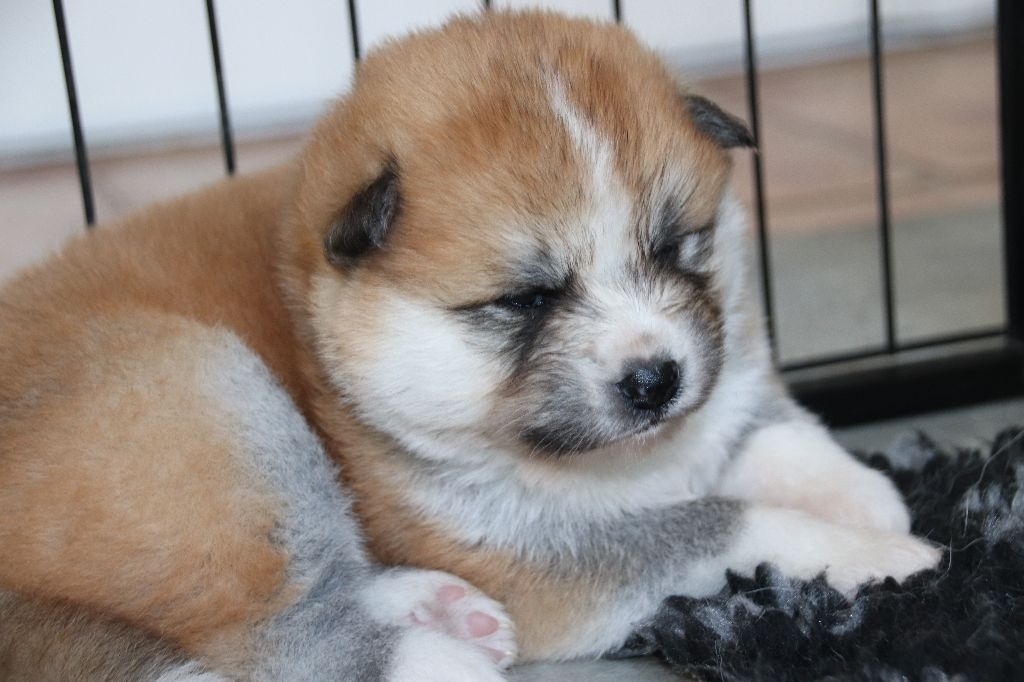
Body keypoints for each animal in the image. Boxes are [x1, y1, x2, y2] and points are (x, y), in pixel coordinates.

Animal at [0, 10, 940, 680]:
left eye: (677, 247)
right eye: (525, 300)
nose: (655, 380)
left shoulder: (723, 373)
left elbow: (764, 427)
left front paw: (862, 494)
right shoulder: (530, 557)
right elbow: (718, 520)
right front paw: (879, 556)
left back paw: (438, 608)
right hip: (213, 405)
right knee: (274, 634)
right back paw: (429, 655)